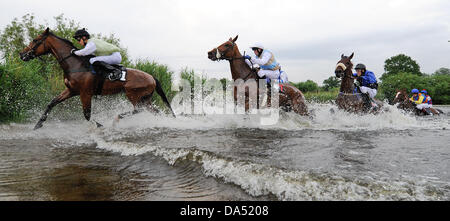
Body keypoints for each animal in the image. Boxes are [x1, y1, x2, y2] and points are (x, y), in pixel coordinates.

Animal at [19, 28, 175, 130]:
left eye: (35, 40)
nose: (22, 54)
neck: (75, 64)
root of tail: (152, 77)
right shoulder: (71, 91)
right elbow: (52, 103)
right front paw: (38, 124)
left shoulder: (85, 93)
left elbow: (87, 114)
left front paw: (99, 125)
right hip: (144, 98)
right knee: (153, 111)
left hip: (134, 95)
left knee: (139, 110)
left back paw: (116, 119)